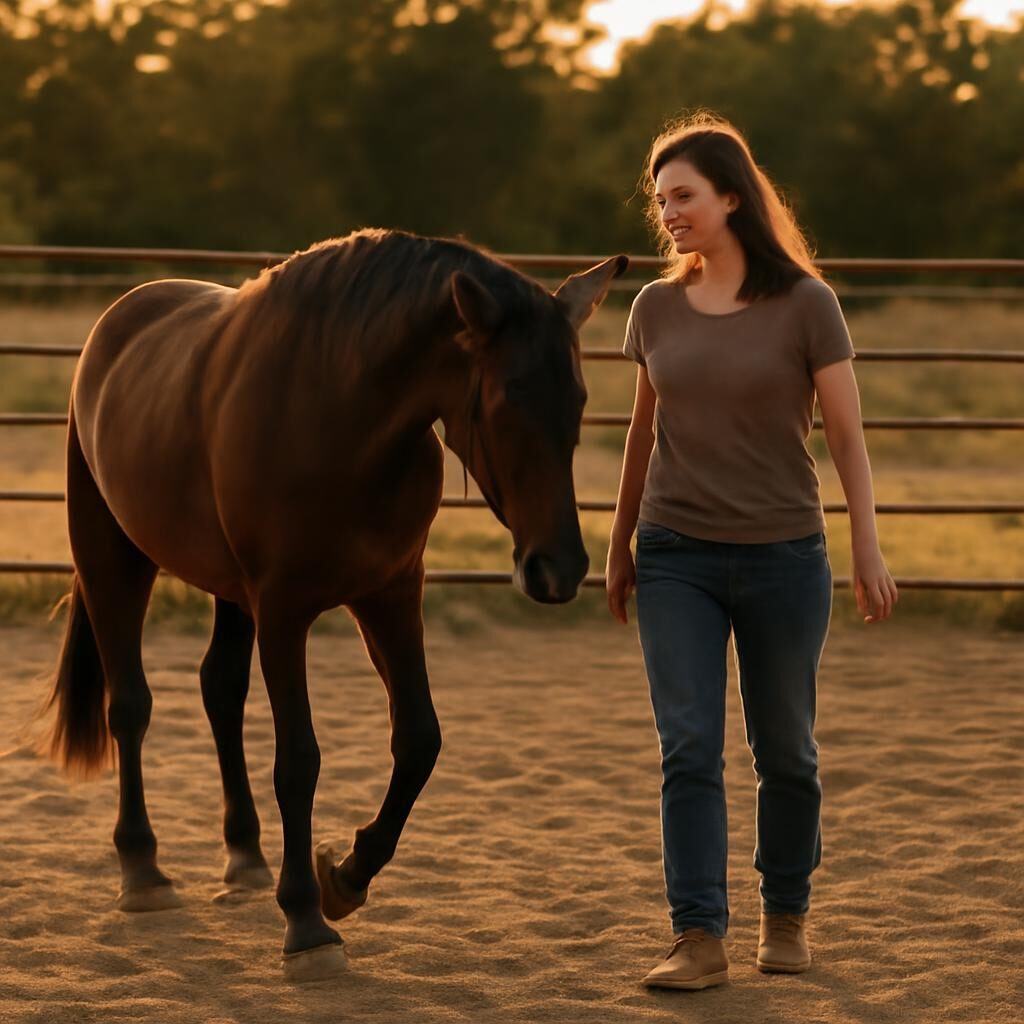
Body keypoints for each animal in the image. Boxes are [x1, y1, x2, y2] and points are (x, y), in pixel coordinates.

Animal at [41, 228, 627, 980]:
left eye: (579, 400)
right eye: (505, 401)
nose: (559, 569)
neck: (340, 415)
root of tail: (121, 319)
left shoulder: (391, 595)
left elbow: (419, 740)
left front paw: (344, 879)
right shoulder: (283, 610)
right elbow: (299, 762)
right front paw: (305, 919)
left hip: (228, 591)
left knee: (219, 691)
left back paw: (245, 856)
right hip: (113, 556)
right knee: (130, 707)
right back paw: (143, 871)